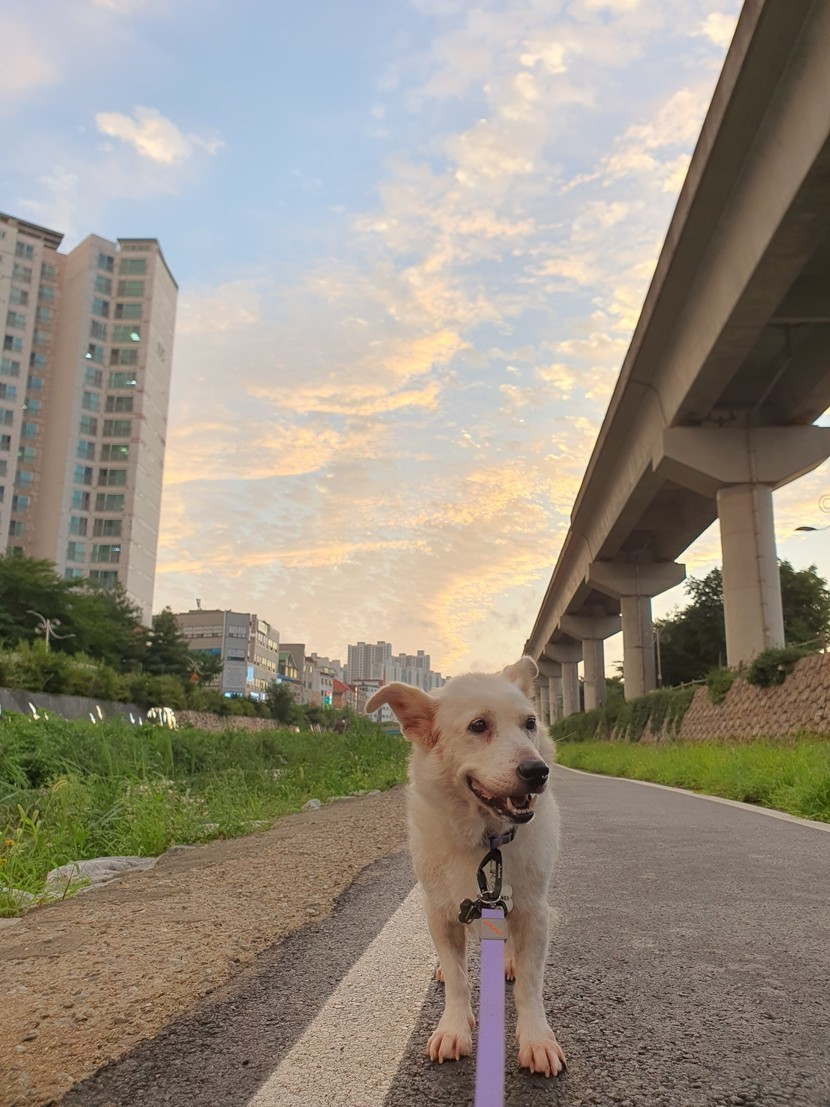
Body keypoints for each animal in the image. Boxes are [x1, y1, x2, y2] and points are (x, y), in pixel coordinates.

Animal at [365, 656, 565, 1077]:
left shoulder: (534, 912)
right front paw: (454, 1027)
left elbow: (530, 984)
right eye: (478, 726)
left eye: (530, 723)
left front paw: (537, 1038)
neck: (486, 839)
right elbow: (458, 979)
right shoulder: (441, 912)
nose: (537, 771)